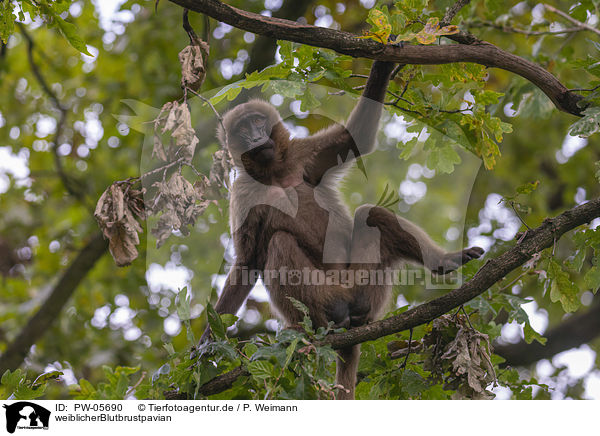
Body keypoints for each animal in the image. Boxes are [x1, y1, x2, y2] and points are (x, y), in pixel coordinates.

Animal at [204, 59, 486, 400]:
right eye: (244, 130)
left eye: (258, 122)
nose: (257, 137)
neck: (274, 174)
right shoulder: (243, 193)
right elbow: (248, 261)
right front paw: (207, 345)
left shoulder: (302, 156)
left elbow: (357, 139)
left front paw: (384, 63)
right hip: (323, 293)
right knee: (280, 244)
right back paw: (324, 321)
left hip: (364, 283)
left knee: (370, 216)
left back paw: (443, 262)